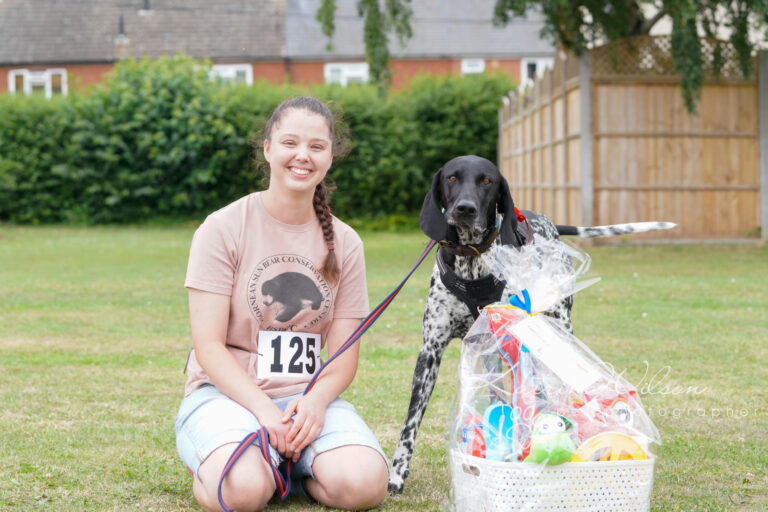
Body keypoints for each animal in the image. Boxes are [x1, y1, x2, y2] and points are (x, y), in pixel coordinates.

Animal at [388, 153, 676, 492]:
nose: (465, 209)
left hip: (556, 330)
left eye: (487, 180)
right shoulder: (431, 352)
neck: (472, 262)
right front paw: (397, 472)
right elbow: (412, 420)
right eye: (452, 178)